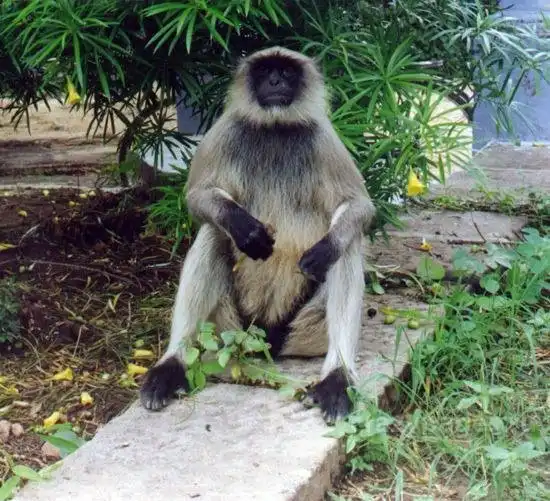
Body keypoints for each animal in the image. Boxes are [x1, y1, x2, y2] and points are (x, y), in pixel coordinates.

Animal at [139, 46, 376, 424]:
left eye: (286, 71)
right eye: (265, 71)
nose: (276, 82)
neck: (275, 127)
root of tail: (266, 336)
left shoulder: (322, 137)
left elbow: (359, 207)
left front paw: (324, 250)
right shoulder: (227, 130)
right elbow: (196, 198)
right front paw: (244, 227)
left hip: (304, 330)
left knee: (348, 244)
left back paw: (337, 377)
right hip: (228, 326)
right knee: (212, 233)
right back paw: (172, 365)